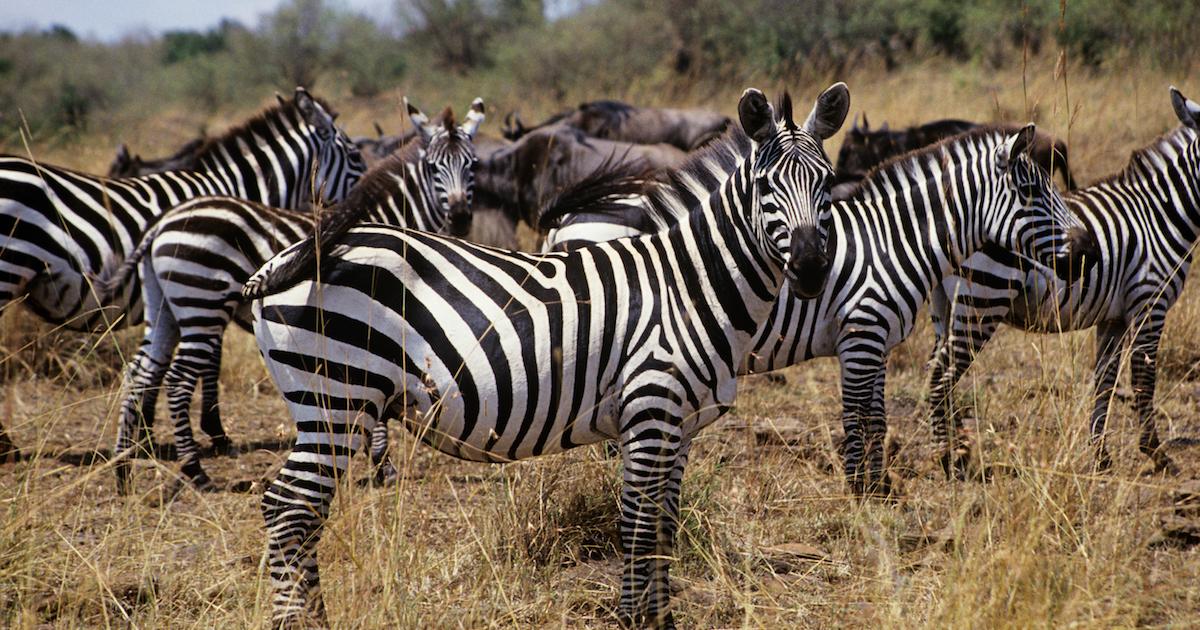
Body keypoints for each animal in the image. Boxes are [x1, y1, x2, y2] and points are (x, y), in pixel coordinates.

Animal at [0, 87, 364, 456]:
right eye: (355, 156)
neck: (232, 193)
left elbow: (157, 366)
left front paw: (144, 430)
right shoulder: (209, 288)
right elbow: (210, 362)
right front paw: (214, 432)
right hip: (8, 270)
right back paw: (6, 446)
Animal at [98, 98, 482, 492]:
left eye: (473, 164)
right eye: (435, 167)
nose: (460, 217)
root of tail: (163, 221)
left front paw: (374, 461)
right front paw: (382, 465)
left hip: (164, 309)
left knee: (139, 372)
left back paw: (124, 469)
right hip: (202, 302)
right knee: (176, 380)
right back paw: (195, 471)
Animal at [236, 84, 854, 628]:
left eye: (827, 184)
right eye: (767, 187)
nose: (810, 269)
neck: (687, 286)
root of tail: (294, 254)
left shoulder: (680, 424)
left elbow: (664, 527)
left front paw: (661, 618)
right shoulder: (650, 411)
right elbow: (636, 526)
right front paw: (634, 619)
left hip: (330, 403)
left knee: (296, 511)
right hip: (335, 396)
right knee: (289, 509)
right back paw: (299, 622)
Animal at [544, 124, 1099, 496]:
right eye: (1031, 192)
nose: (1087, 250)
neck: (893, 241)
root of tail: (562, 225)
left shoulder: (877, 341)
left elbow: (877, 417)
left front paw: (878, 486)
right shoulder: (862, 335)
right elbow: (856, 418)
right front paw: (860, 492)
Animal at [926, 84, 1200, 477]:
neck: (1163, 211)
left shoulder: (1114, 317)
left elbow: (1105, 382)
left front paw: (1100, 456)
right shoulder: (1151, 301)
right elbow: (1143, 380)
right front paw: (1156, 453)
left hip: (945, 309)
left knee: (935, 370)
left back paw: (953, 453)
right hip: (982, 302)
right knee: (943, 377)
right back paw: (951, 461)